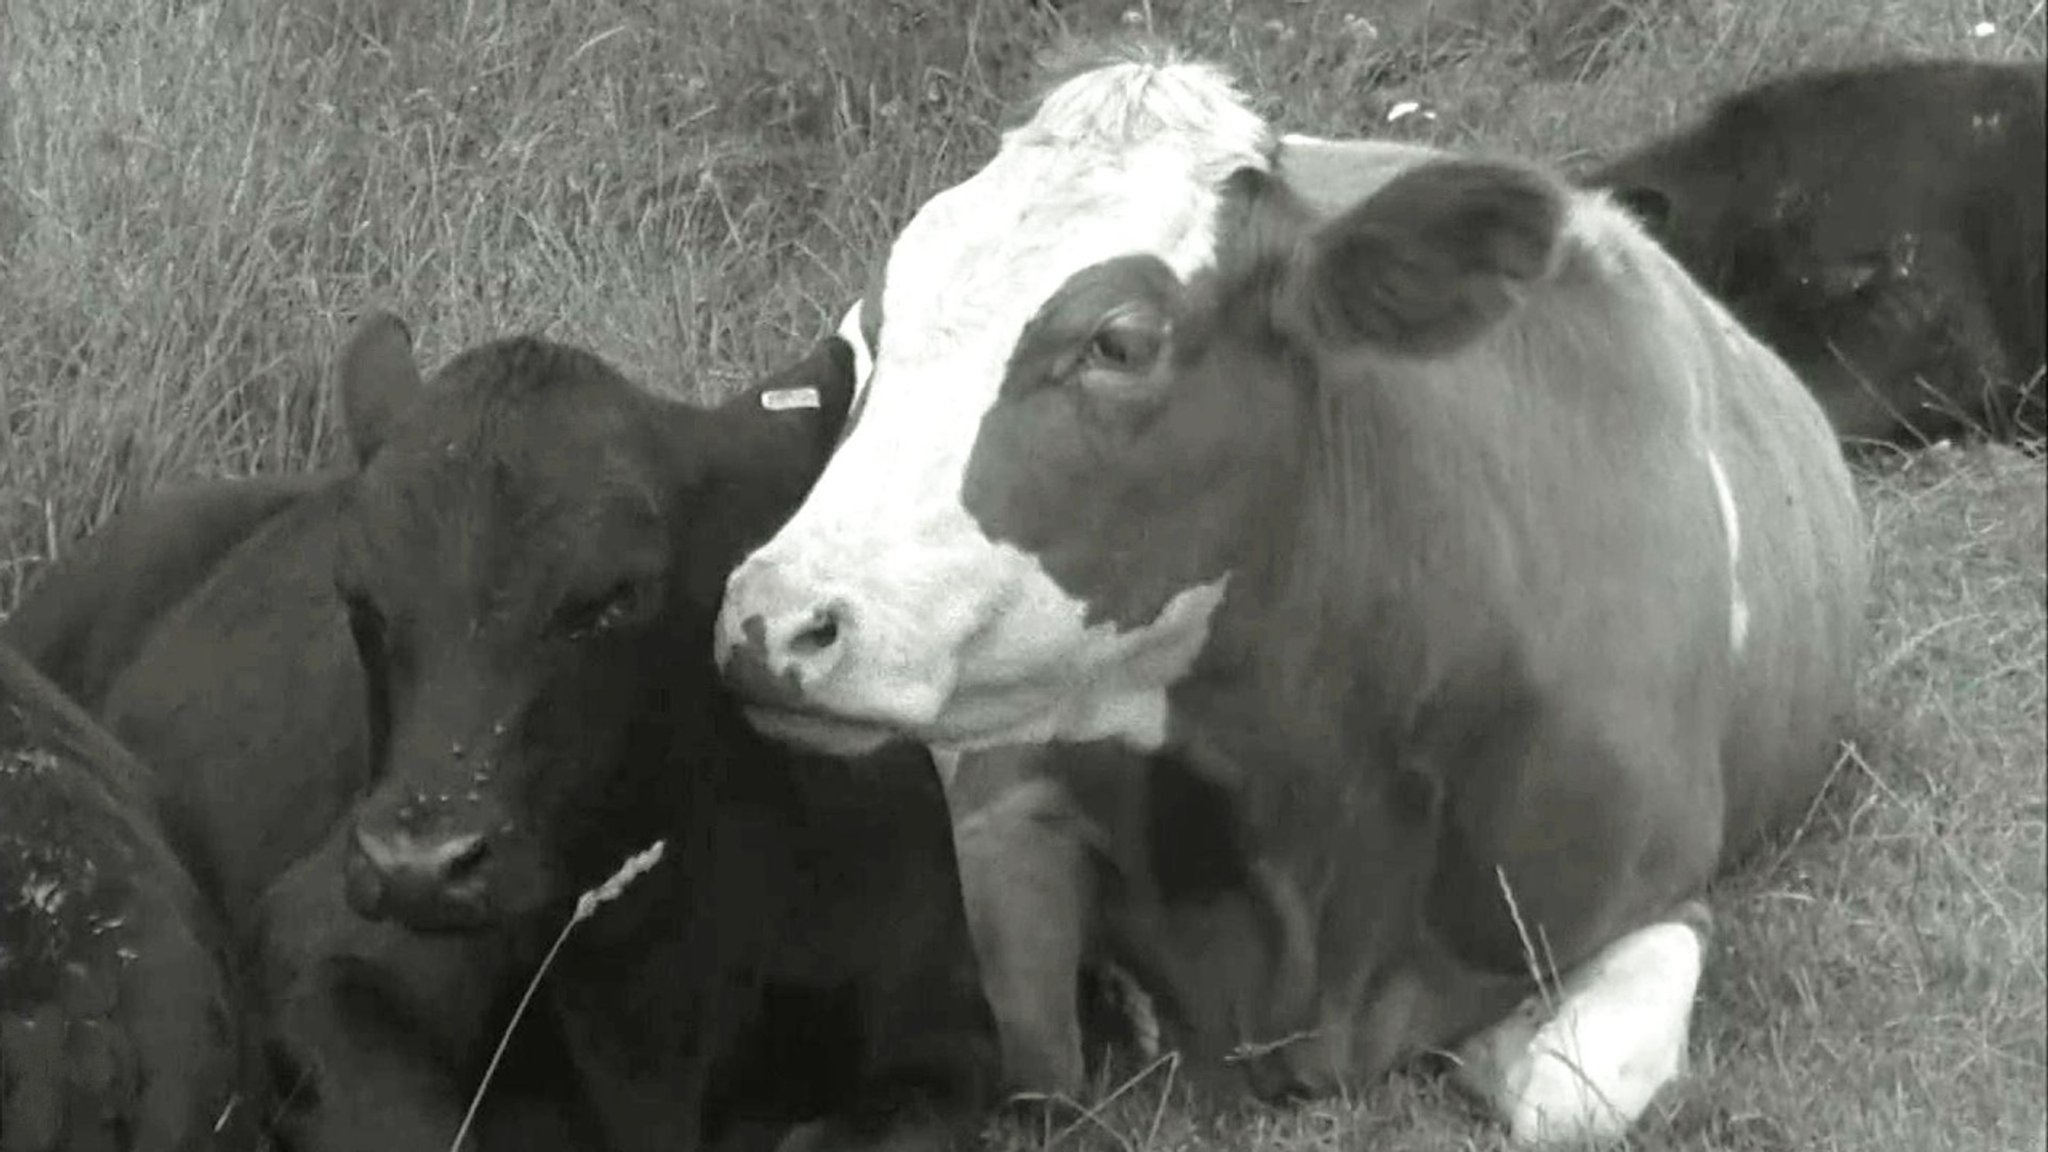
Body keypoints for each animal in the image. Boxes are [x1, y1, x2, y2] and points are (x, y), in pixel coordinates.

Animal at [716, 51, 1875, 1139]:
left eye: (1117, 342)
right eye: (876, 332)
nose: (775, 624)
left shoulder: (1656, 889)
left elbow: (1569, 1096)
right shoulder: (1000, 802)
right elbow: (1034, 1048)